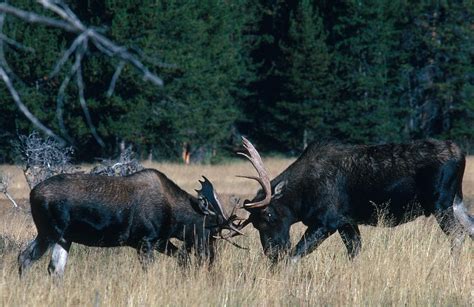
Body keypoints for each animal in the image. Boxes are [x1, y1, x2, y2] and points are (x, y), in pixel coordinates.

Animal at [17, 170, 241, 278]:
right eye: (210, 227)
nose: (210, 258)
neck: (175, 216)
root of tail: (32, 193)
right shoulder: (146, 241)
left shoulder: (159, 241)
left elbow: (182, 258)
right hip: (49, 231)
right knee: (25, 257)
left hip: (64, 238)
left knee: (55, 269)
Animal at [237, 138, 474, 264]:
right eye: (254, 224)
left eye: (268, 214)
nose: (273, 253)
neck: (301, 199)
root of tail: (460, 154)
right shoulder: (347, 222)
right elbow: (355, 251)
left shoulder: (327, 222)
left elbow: (296, 255)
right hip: (456, 201)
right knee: (470, 228)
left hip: (440, 203)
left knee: (457, 235)